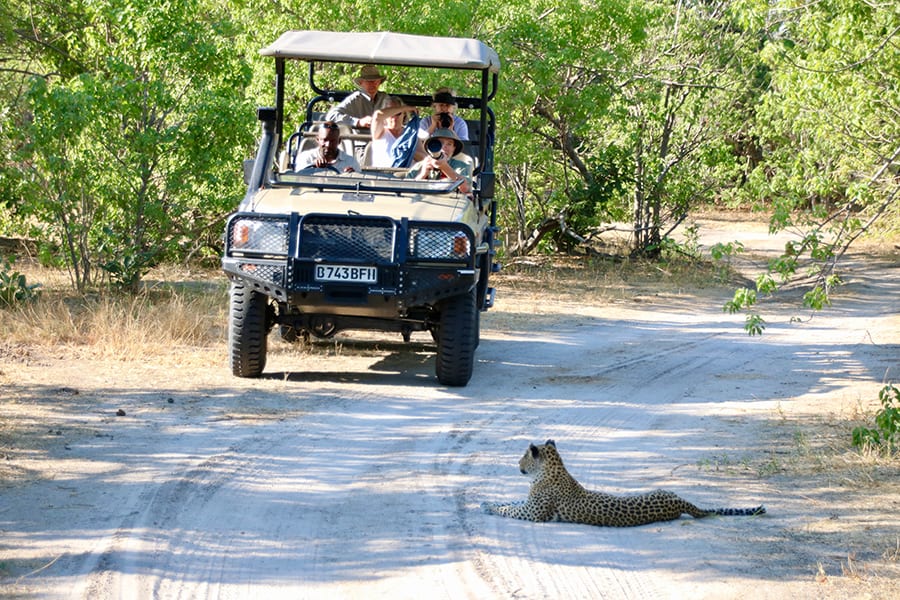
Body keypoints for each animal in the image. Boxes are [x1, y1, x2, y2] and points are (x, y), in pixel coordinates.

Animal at [481, 440, 766, 527]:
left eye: (523, 456)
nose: (517, 464)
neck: (551, 470)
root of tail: (679, 501)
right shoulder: (528, 503)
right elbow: (511, 501)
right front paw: (485, 501)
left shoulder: (533, 513)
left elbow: (508, 509)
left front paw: (487, 506)